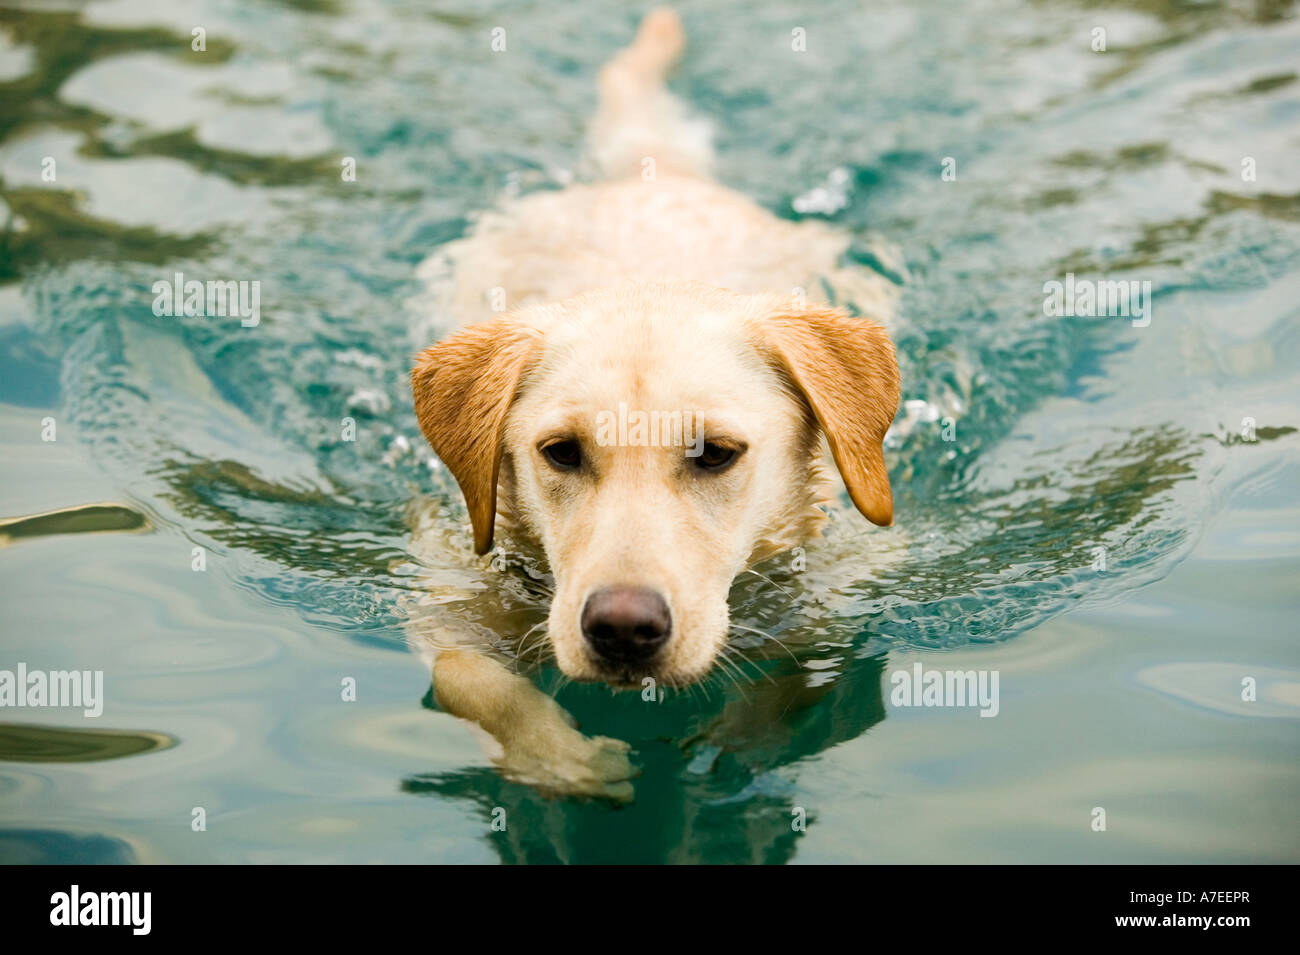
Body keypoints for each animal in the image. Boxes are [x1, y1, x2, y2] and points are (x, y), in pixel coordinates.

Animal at [400, 9, 899, 800]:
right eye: (561, 452)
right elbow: (468, 676)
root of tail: (653, 169)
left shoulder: (832, 600)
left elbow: (790, 686)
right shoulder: (443, 588)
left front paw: (731, 743)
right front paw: (562, 757)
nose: (624, 629)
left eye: (715, 453)